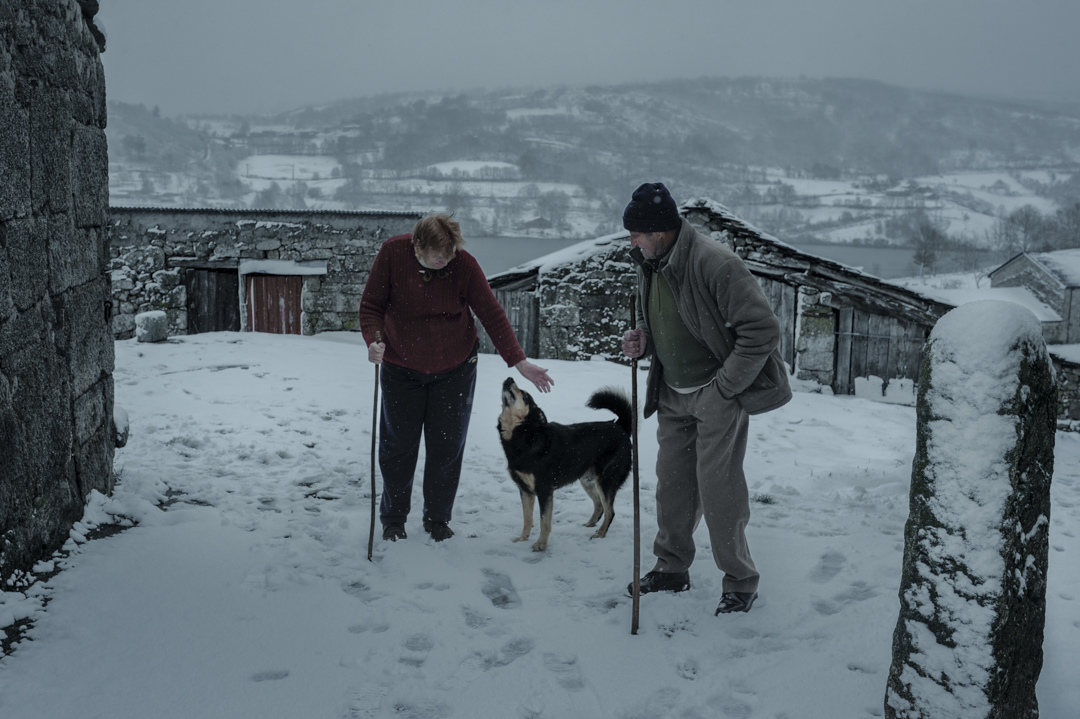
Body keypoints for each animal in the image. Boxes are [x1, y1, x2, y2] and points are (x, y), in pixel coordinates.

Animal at [496, 375, 630, 548]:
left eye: (525, 395)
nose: (509, 378)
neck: (526, 435)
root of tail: (620, 427)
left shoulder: (544, 490)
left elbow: (544, 521)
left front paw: (541, 544)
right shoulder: (525, 490)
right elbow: (527, 518)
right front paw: (523, 539)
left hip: (606, 480)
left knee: (610, 511)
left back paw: (600, 534)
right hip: (587, 480)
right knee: (600, 506)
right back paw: (590, 524)